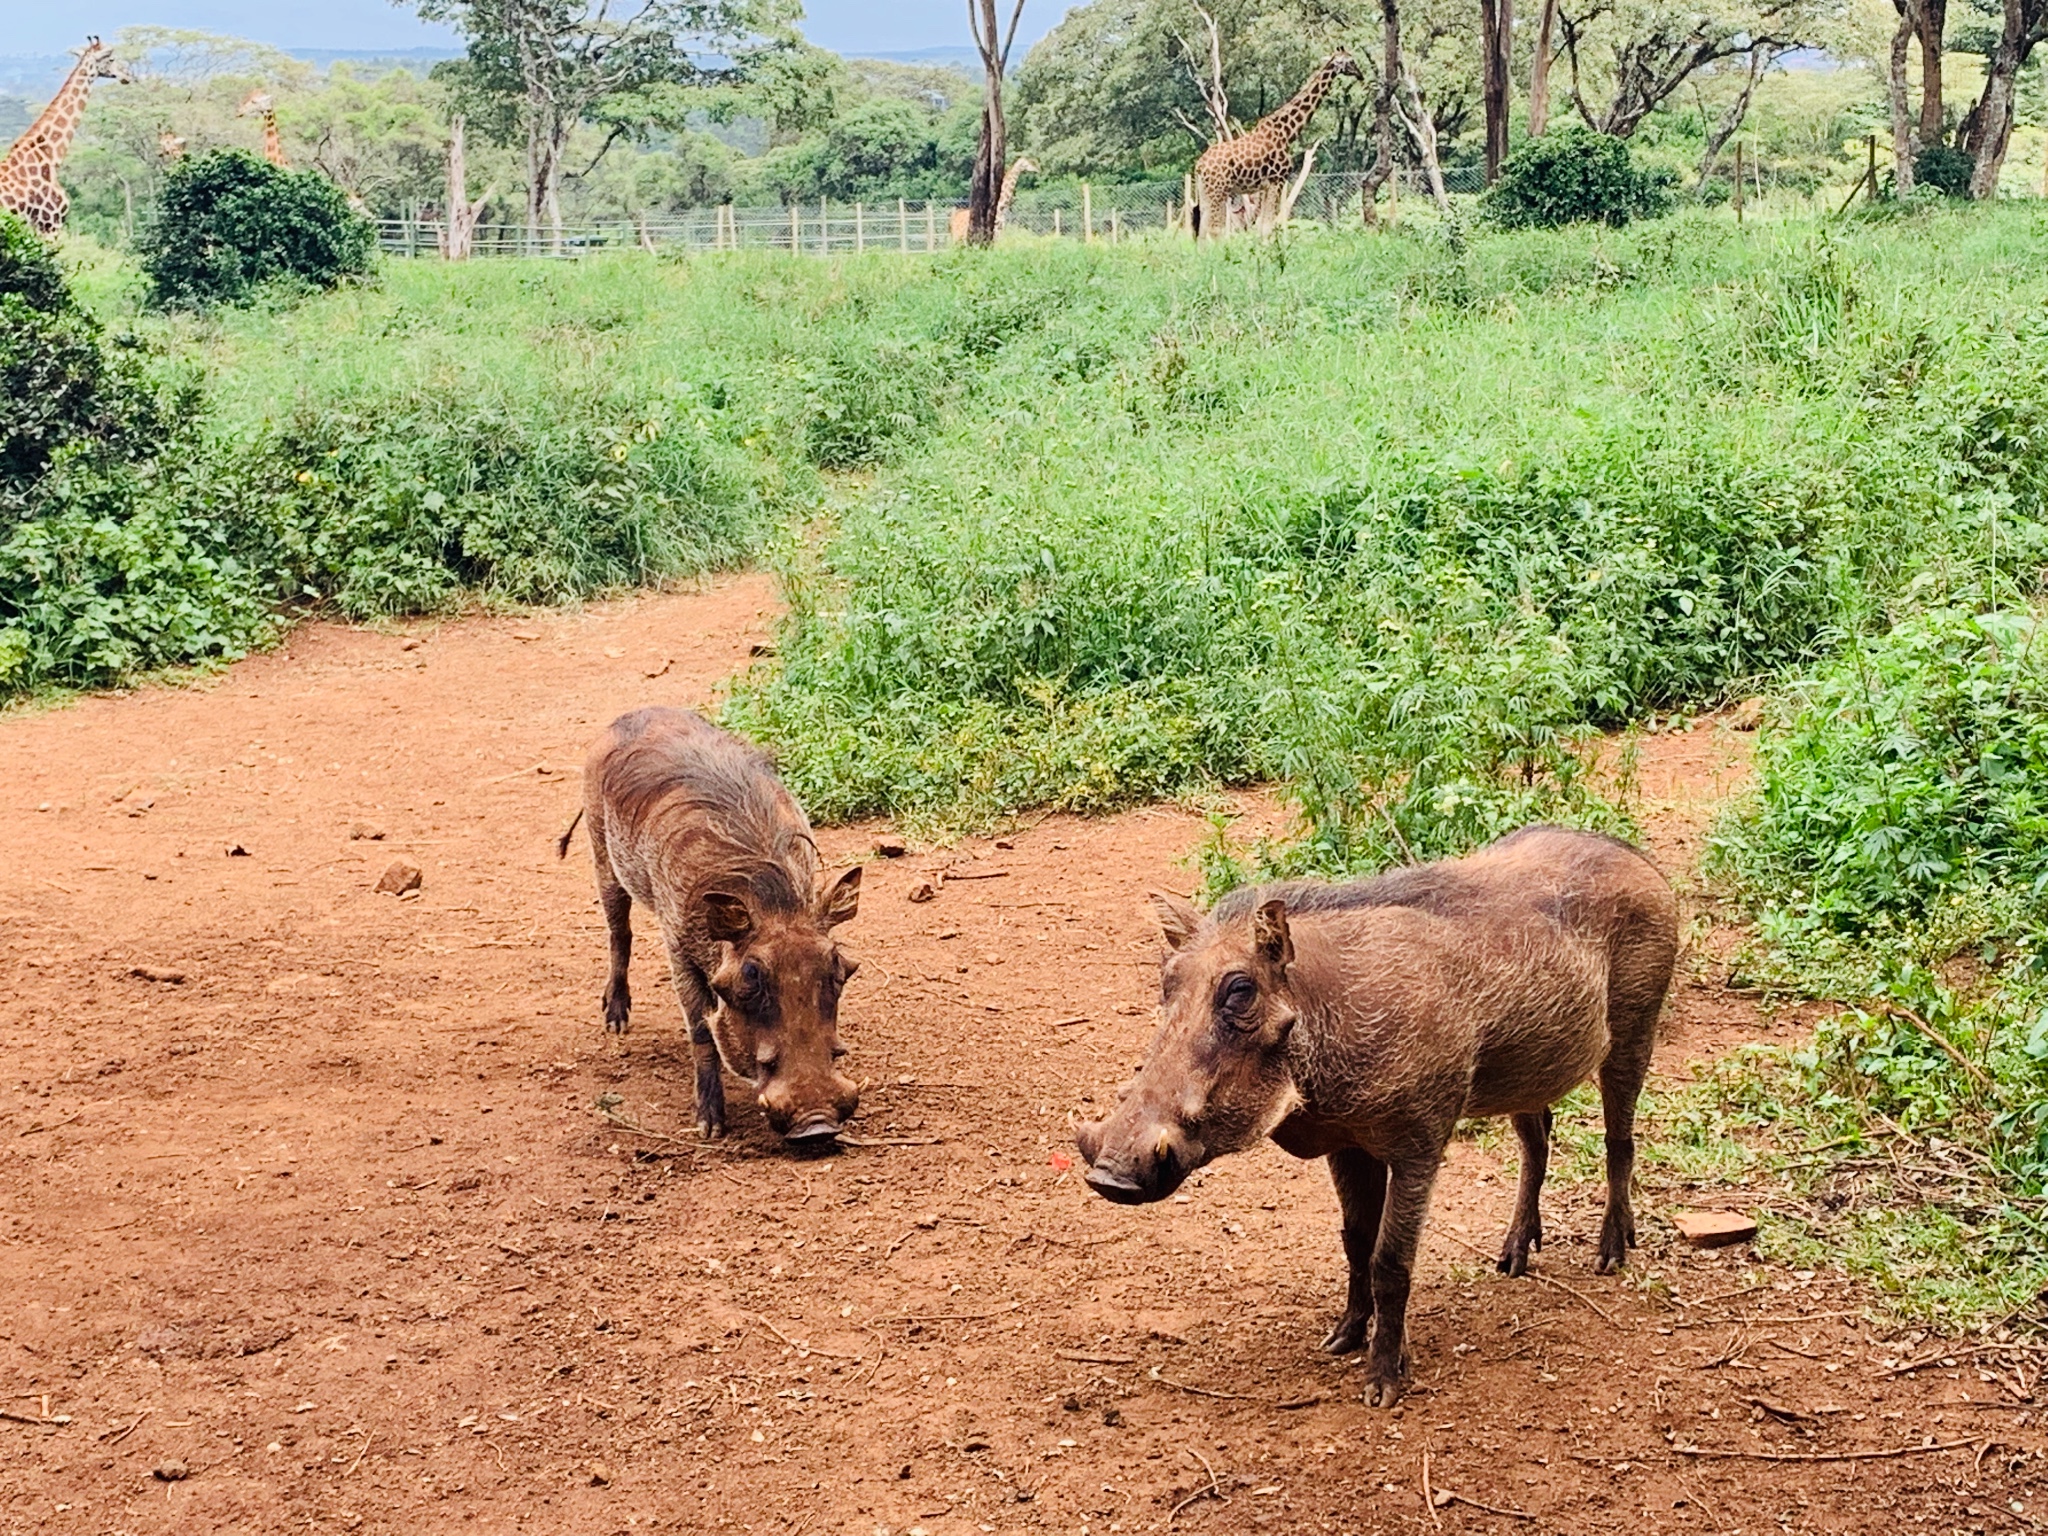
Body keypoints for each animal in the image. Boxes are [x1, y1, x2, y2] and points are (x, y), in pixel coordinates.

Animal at [1187, 49, 1359, 240]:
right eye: (1351, 61)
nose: (1360, 74)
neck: (1288, 133)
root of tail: (1199, 166)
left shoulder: (1265, 186)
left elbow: (1262, 226)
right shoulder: (1277, 180)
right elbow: (1267, 226)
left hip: (1205, 192)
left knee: (1202, 230)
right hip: (1218, 191)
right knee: (1214, 230)